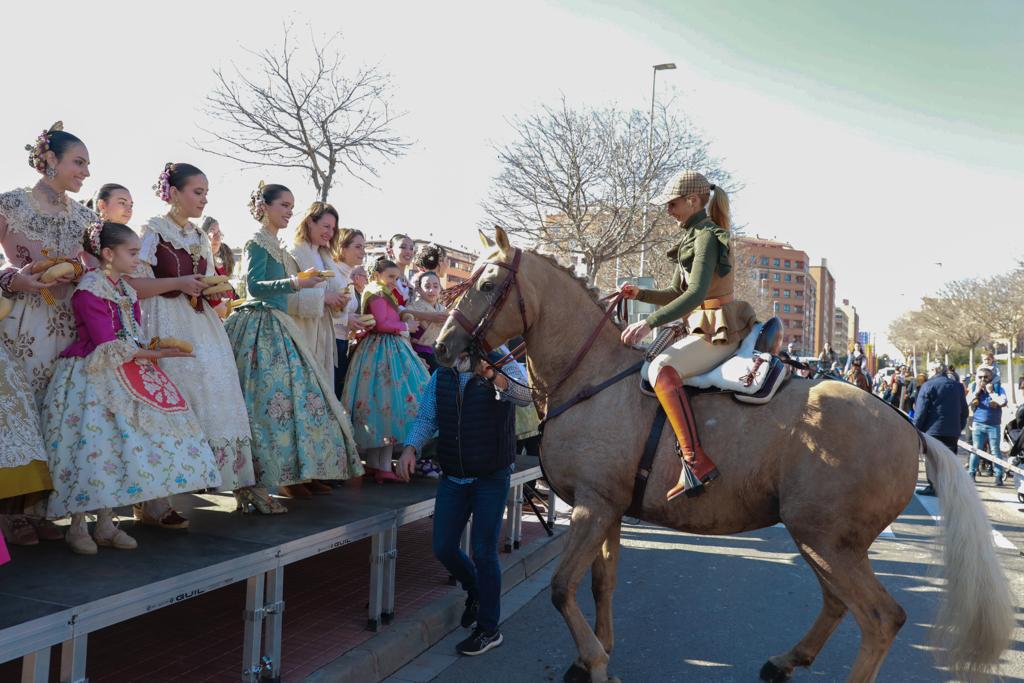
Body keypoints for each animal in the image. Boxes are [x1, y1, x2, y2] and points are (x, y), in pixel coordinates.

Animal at [430, 228, 1007, 683]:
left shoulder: (592, 507)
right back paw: (785, 660)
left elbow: (560, 587)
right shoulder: (608, 510)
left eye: (488, 285)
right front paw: (596, 652)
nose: (441, 347)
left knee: (880, 618)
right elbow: (600, 583)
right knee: (839, 603)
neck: (592, 377)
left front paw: (592, 661)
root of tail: (909, 427)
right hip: (825, 542)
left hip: (826, 541)